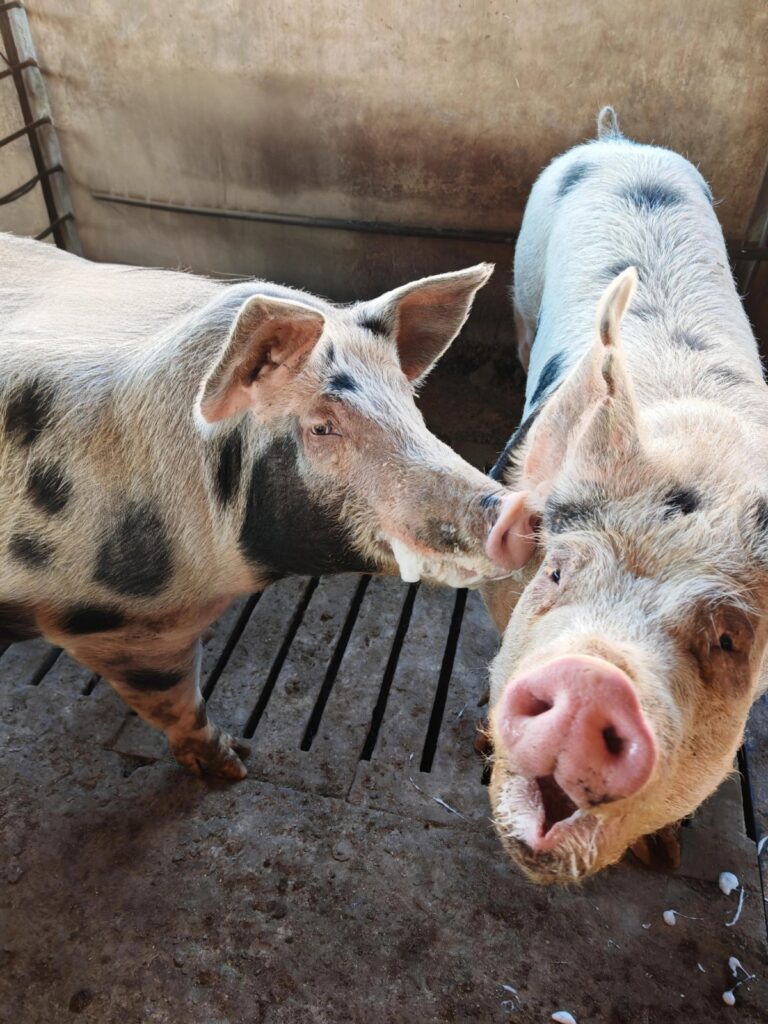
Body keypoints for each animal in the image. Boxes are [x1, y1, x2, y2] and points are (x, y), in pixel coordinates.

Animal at [0, 234, 523, 779]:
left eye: (409, 404)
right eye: (322, 426)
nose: (512, 508)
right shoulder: (116, 627)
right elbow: (177, 704)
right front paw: (234, 767)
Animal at [482, 108, 768, 883]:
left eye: (728, 639)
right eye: (557, 571)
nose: (592, 683)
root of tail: (617, 141)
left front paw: (663, 856)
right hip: (523, 271)